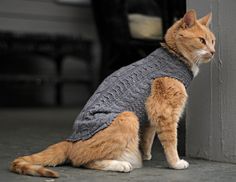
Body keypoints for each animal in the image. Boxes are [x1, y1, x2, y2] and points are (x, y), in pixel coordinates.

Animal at [9, 9, 216, 177]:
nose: (213, 52)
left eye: (213, 41)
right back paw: (121, 165)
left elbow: (147, 137)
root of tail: (70, 140)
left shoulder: (150, 116)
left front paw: (147, 155)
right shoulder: (164, 113)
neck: (174, 57)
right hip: (128, 117)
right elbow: (171, 140)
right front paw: (175, 162)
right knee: (82, 161)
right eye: (201, 40)